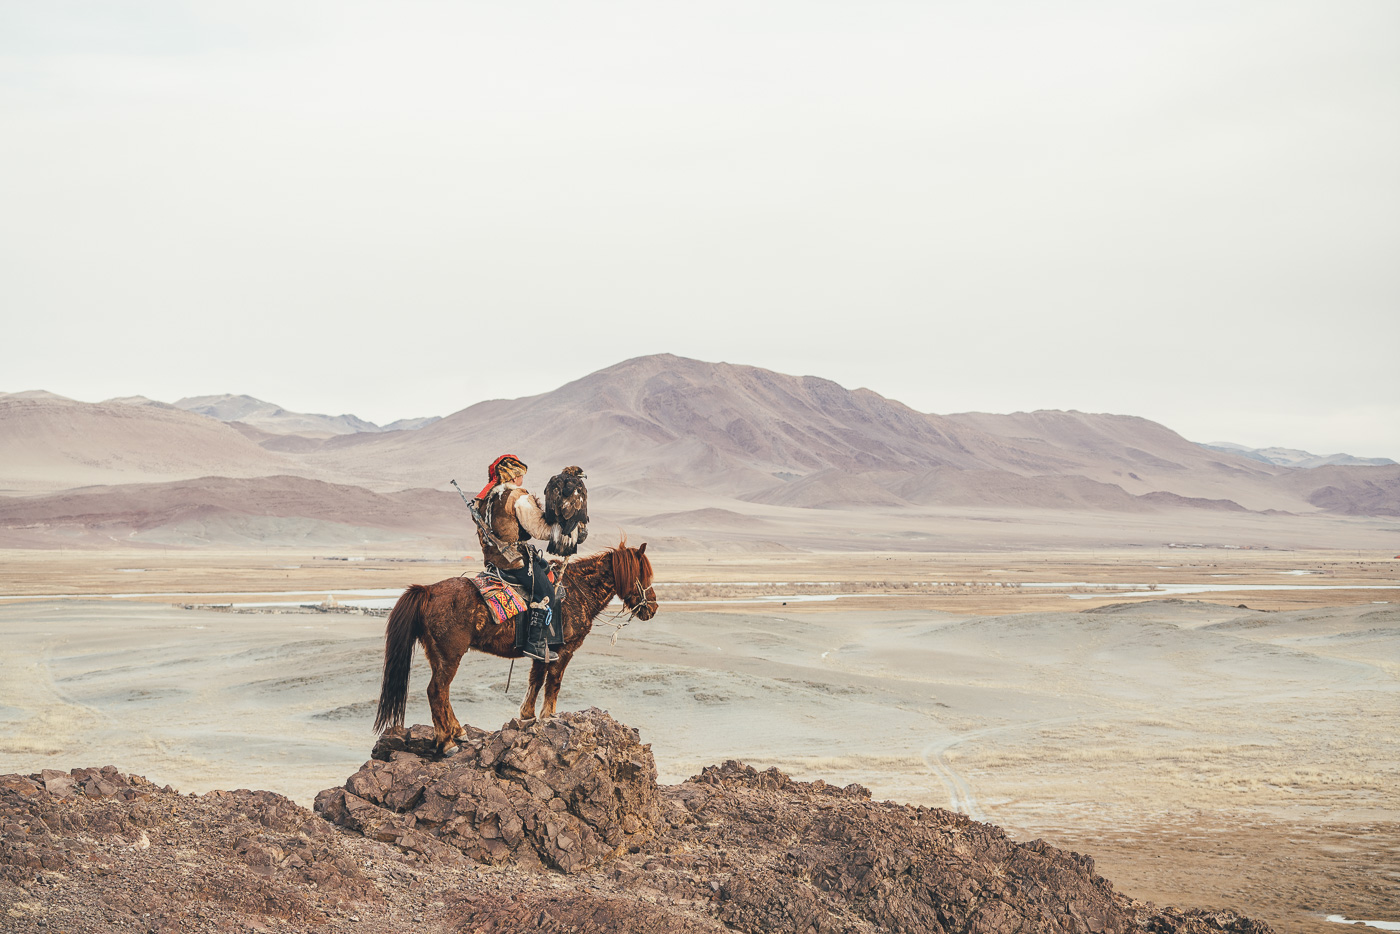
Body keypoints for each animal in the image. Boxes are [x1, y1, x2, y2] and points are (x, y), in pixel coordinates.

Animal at [372, 540, 655, 750]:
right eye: (643, 575)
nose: (652, 609)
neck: (577, 591)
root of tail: (428, 591)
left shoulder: (543, 651)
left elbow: (536, 680)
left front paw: (527, 715)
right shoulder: (564, 651)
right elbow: (553, 684)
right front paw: (549, 716)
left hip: (437, 655)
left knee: (442, 692)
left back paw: (458, 731)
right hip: (450, 655)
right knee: (436, 691)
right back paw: (446, 742)